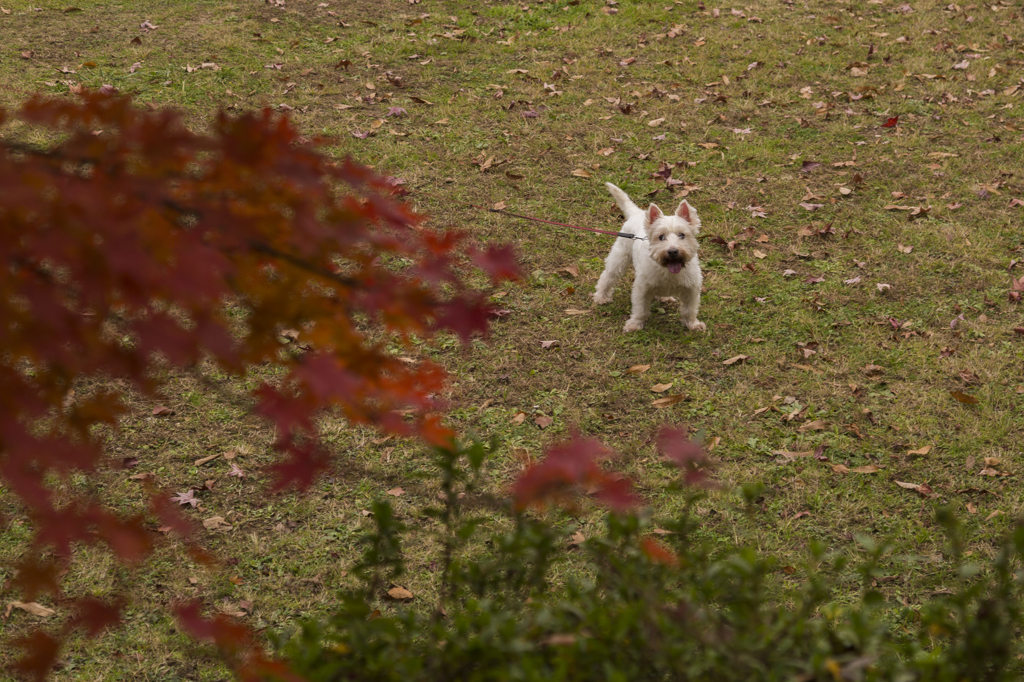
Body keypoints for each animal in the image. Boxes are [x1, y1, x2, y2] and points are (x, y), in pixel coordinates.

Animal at [593, 183, 704, 331]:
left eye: (682, 235)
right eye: (661, 237)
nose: (673, 251)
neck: (668, 271)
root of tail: (637, 213)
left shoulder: (692, 288)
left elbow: (689, 310)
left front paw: (693, 324)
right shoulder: (642, 288)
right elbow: (640, 309)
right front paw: (634, 325)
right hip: (620, 256)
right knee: (608, 276)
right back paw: (601, 297)